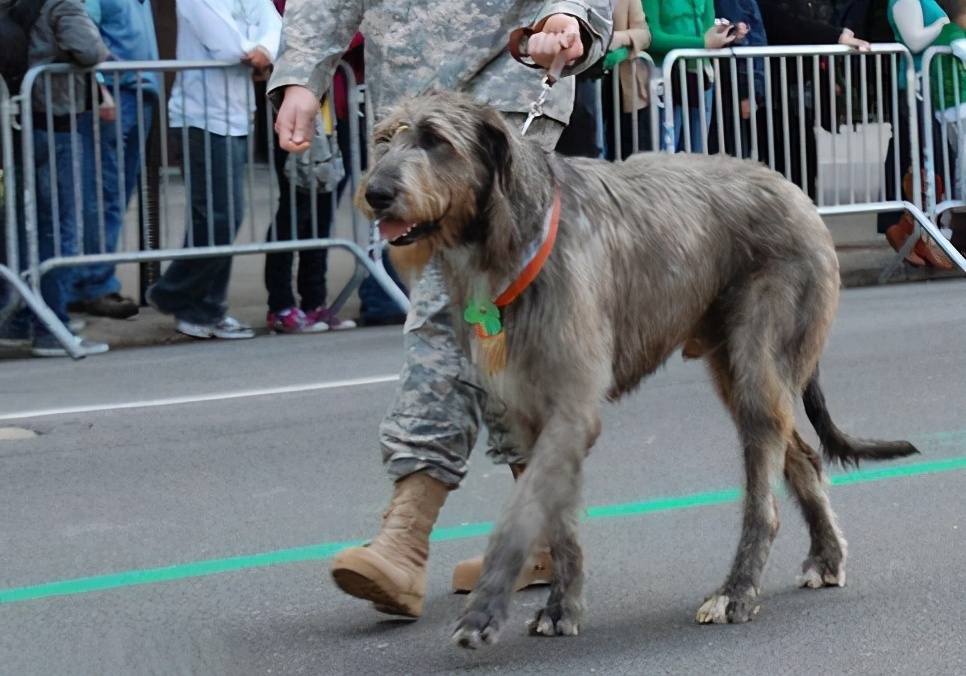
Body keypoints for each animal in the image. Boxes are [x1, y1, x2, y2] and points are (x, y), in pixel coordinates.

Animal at [358, 91, 924, 648]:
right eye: (383, 139)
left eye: (435, 139)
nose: (376, 192)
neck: (509, 237)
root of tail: (796, 192)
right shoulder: (527, 413)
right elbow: (555, 519)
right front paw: (561, 605)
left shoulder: (572, 409)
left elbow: (519, 515)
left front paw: (484, 610)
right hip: (736, 370)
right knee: (804, 459)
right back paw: (825, 556)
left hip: (761, 360)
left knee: (765, 498)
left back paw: (736, 591)